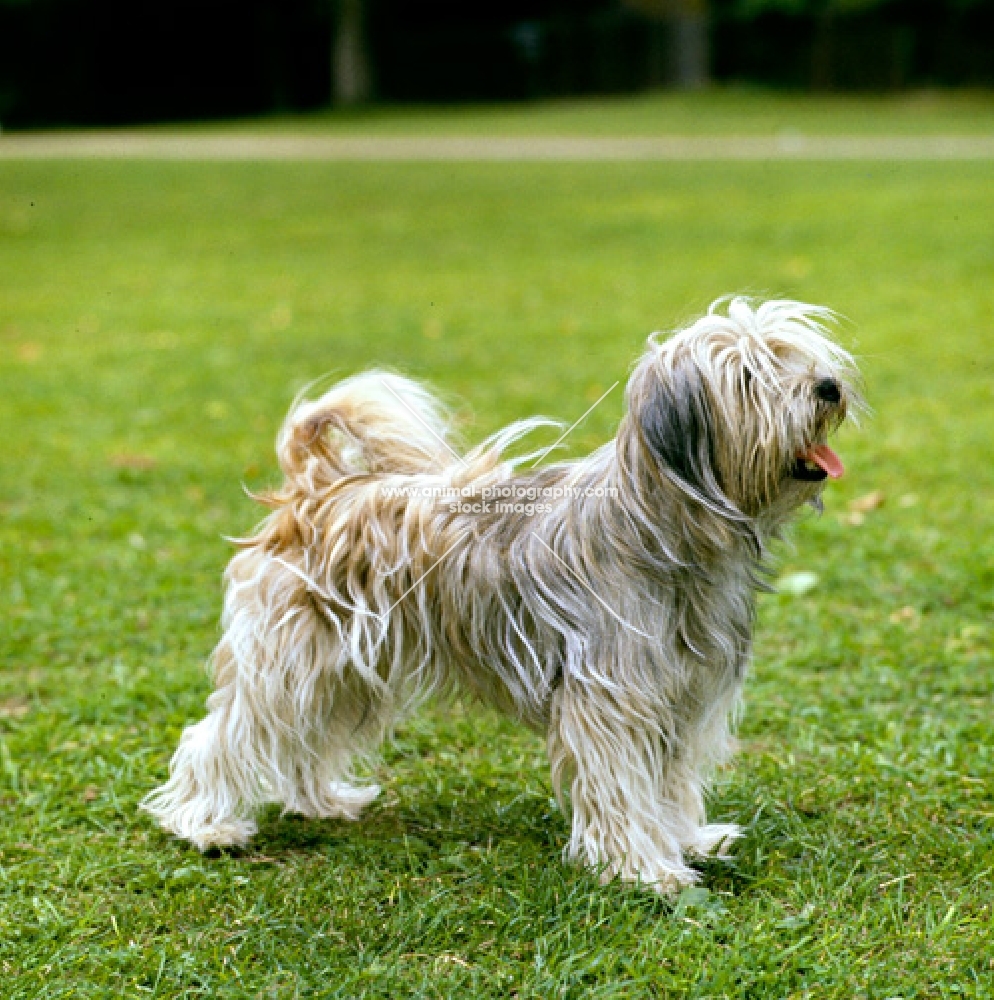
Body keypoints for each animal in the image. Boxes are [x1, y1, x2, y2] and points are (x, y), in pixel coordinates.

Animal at [141, 294, 860, 892]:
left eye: (793, 354)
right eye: (748, 377)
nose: (828, 387)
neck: (666, 528)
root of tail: (314, 487)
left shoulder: (684, 696)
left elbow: (671, 782)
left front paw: (686, 840)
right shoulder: (611, 699)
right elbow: (622, 787)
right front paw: (642, 869)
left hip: (347, 668)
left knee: (303, 738)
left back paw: (322, 802)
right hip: (289, 659)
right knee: (224, 734)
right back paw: (205, 824)